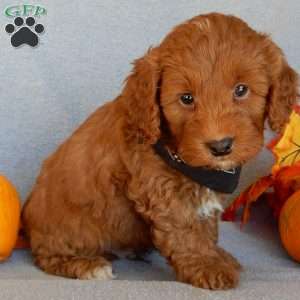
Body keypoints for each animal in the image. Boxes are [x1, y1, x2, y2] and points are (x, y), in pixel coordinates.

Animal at [22, 12, 298, 290]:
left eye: (241, 90)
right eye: (186, 98)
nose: (220, 146)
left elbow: (206, 225)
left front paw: (217, 255)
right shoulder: (162, 191)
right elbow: (186, 230)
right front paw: (207, 265)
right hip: (68, 228)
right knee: (47, 255)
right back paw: (89, 266)